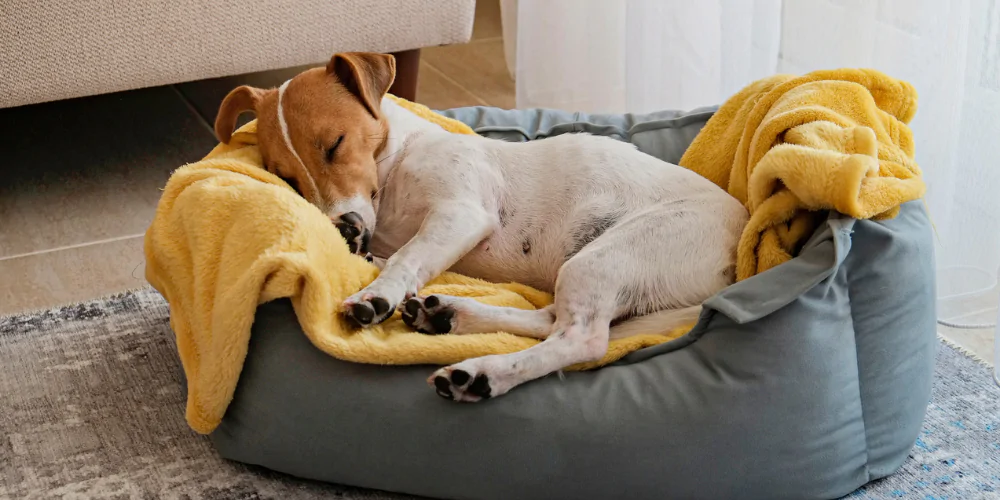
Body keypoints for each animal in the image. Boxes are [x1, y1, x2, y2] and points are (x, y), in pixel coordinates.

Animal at [215, 51, 748, 402]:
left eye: (335, 144)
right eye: (285, 177)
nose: (342, 228)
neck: (395, 167)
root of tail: (736, 264)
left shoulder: (461, 213)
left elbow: (407, 258)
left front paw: (376, 296)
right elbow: (392, 257)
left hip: (606, 257)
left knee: (581, 339)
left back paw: (481, 372)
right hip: (589, 269)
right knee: (550, 319)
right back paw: (449, 314)